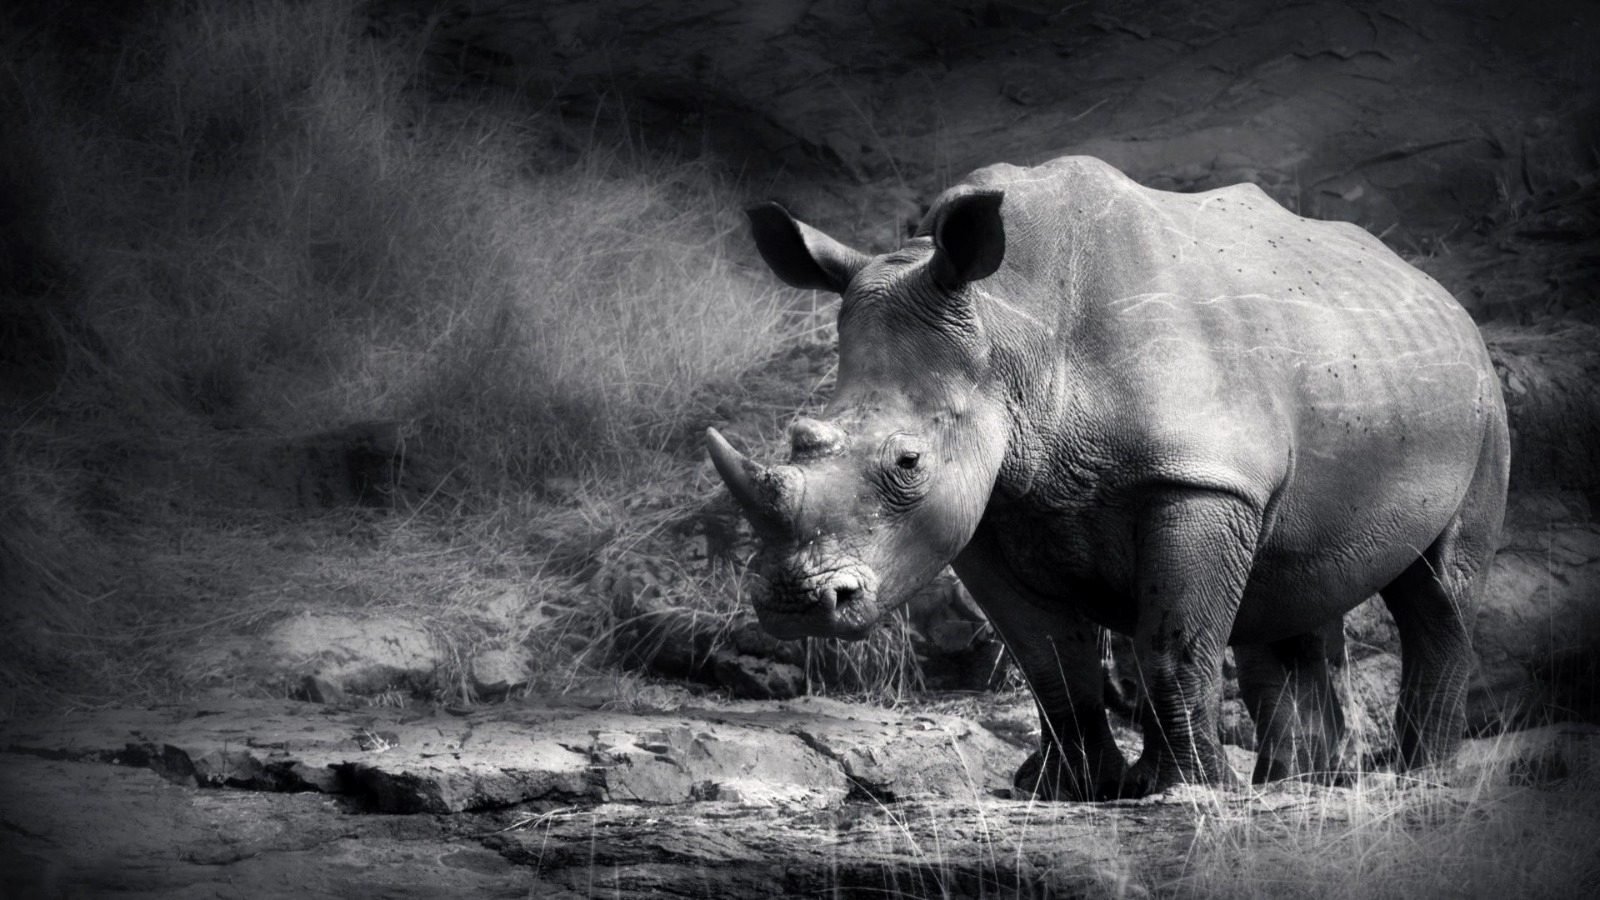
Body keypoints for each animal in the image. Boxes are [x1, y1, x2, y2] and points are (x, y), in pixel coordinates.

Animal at [708, 156, 1508, 800]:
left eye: (909, 462)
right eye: (798, 438)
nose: (795, 604)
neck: (1010, 331)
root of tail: (1435, 289)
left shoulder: (1198, 478)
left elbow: (1172, 645)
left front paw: (1191, 792)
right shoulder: (990, 511)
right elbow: (1052, 664)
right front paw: (1072, 791)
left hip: (1480, 399)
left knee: (1436, 589)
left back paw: (1415, 777)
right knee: (1289, 592)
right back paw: (1302, 783)